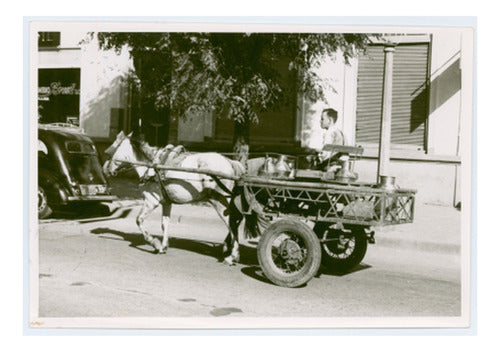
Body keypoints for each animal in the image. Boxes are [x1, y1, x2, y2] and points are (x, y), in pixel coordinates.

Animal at [103, 132, 246, 264]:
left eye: (115, 146)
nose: (105, 168)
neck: (152, 166)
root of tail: (230, 162)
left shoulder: (151, 200)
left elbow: (139, 220)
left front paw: (154, 243)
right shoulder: (166, 202)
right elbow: (164, 223)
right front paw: (163, 246)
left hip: (220, 202)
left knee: (232, 223)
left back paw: (232, 255)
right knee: (236, 220)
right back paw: (227, 247)